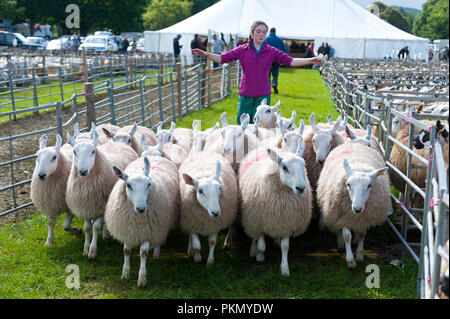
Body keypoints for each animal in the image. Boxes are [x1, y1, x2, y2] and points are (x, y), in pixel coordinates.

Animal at [65, 130, 139, 260]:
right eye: (74, 151)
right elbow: (87, 228)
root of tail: (118, 143)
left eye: (93, 151)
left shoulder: (100, 206)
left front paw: (92, 252)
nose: (82, 171)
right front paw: (85, 249)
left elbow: (95, 227)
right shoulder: (85, 206)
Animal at [104, 156, 178, 288]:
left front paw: (142, 279)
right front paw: (125, 273)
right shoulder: (127, 230)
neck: (137, 219)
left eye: (149, 184)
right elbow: (126, 251)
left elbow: (143, 253)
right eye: (128, 185)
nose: (141, 208)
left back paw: (156, 253)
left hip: (160, 226)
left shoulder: (148, 232)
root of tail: (155, 156)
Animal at [239, 140, 312, 278]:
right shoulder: (260, 220)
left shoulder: (287, 221)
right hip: (250, 216)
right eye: (284, 167)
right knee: (253, 234)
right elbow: (261, 245)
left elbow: (285, 246)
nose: (301, 188)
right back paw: (253, 249)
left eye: (304, 165)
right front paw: (260, 256)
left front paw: (284, 268)